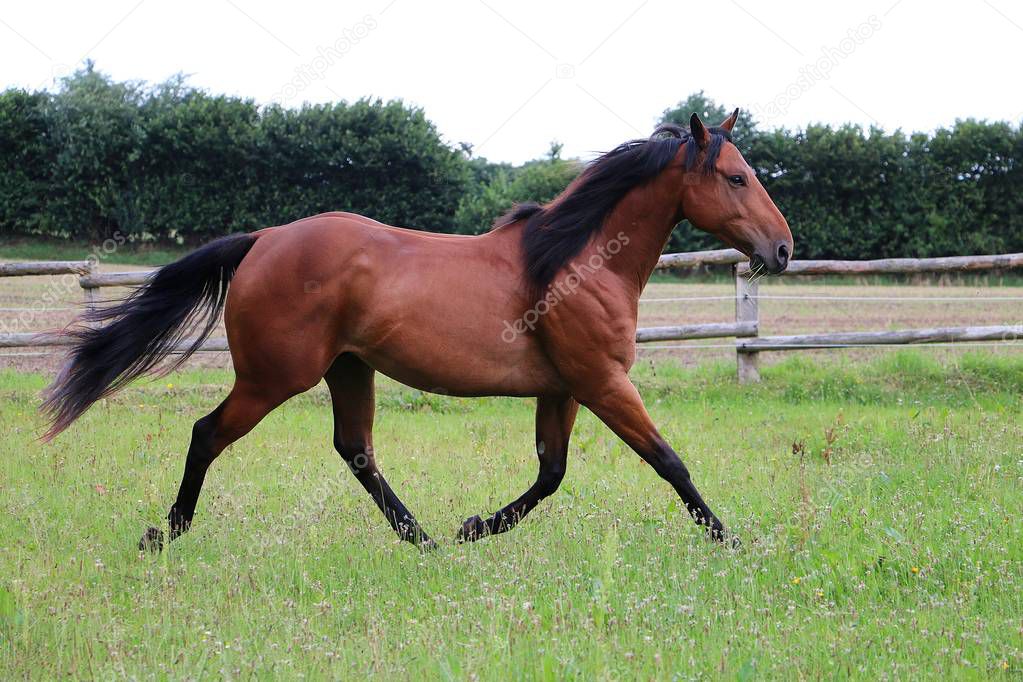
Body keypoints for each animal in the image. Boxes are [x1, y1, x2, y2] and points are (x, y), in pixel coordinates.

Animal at [41, 110, 789, 548]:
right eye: (735, 177)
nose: (781, 249)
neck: (574, 261)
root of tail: (263, 240)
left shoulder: (564, 389)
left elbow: (550, 473)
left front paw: (473, 527)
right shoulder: (602, 383)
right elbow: (668, 461)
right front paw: (730, 541)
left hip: (347, 368)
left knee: (355, 450)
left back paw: (423, 539)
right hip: (274, 376)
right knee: (207, 434)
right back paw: (166, 535)